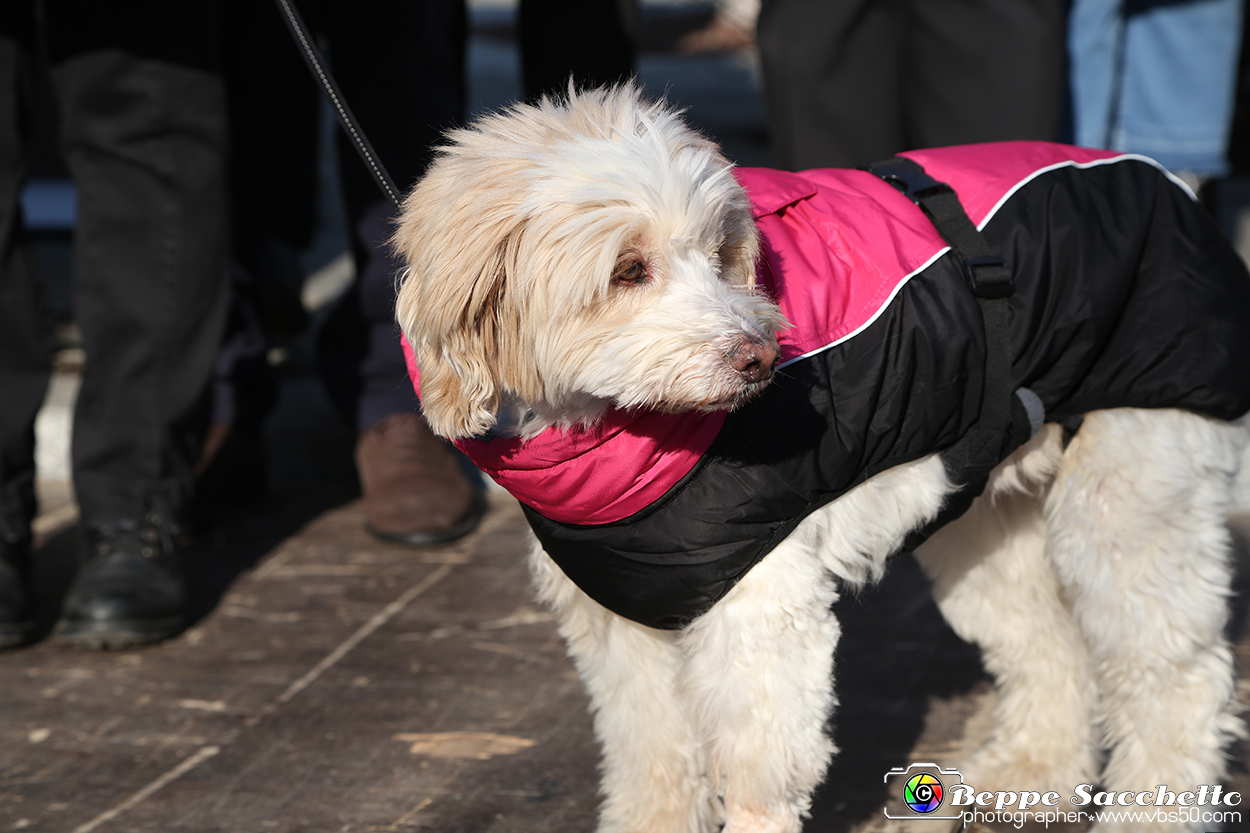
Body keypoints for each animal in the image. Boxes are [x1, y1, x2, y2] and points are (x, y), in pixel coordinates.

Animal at [392, 85, 1250, 830]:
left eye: (718, 251)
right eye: (628, 269)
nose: (759, 358)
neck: (628, 435)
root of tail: (1165, 180)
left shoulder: (756, 611)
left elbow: (758, 767)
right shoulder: (620, 625)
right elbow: (652, 759)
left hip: (1129, 503)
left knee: (1177, 678)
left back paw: (1149, 813)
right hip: (988, 522)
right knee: (1047, 646)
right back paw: (1034, 770)